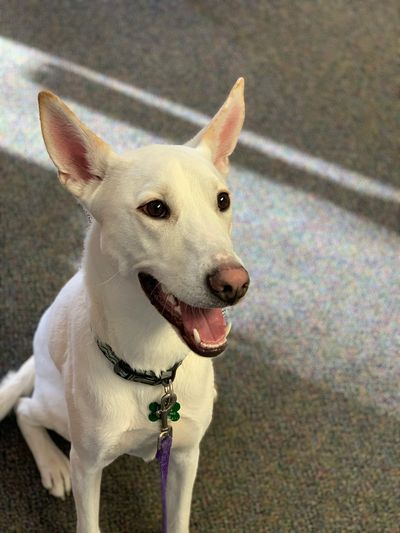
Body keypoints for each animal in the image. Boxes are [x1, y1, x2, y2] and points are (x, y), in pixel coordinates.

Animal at [0, 77, 248, 528]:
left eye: (222, 200)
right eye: (155, 208)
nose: (235, 284)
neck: (153, 371)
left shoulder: (185, 457)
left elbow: (178, 519)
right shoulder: (87, 465)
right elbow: (89, 523)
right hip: (57, 410)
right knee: (25, 409)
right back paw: (51, 464)